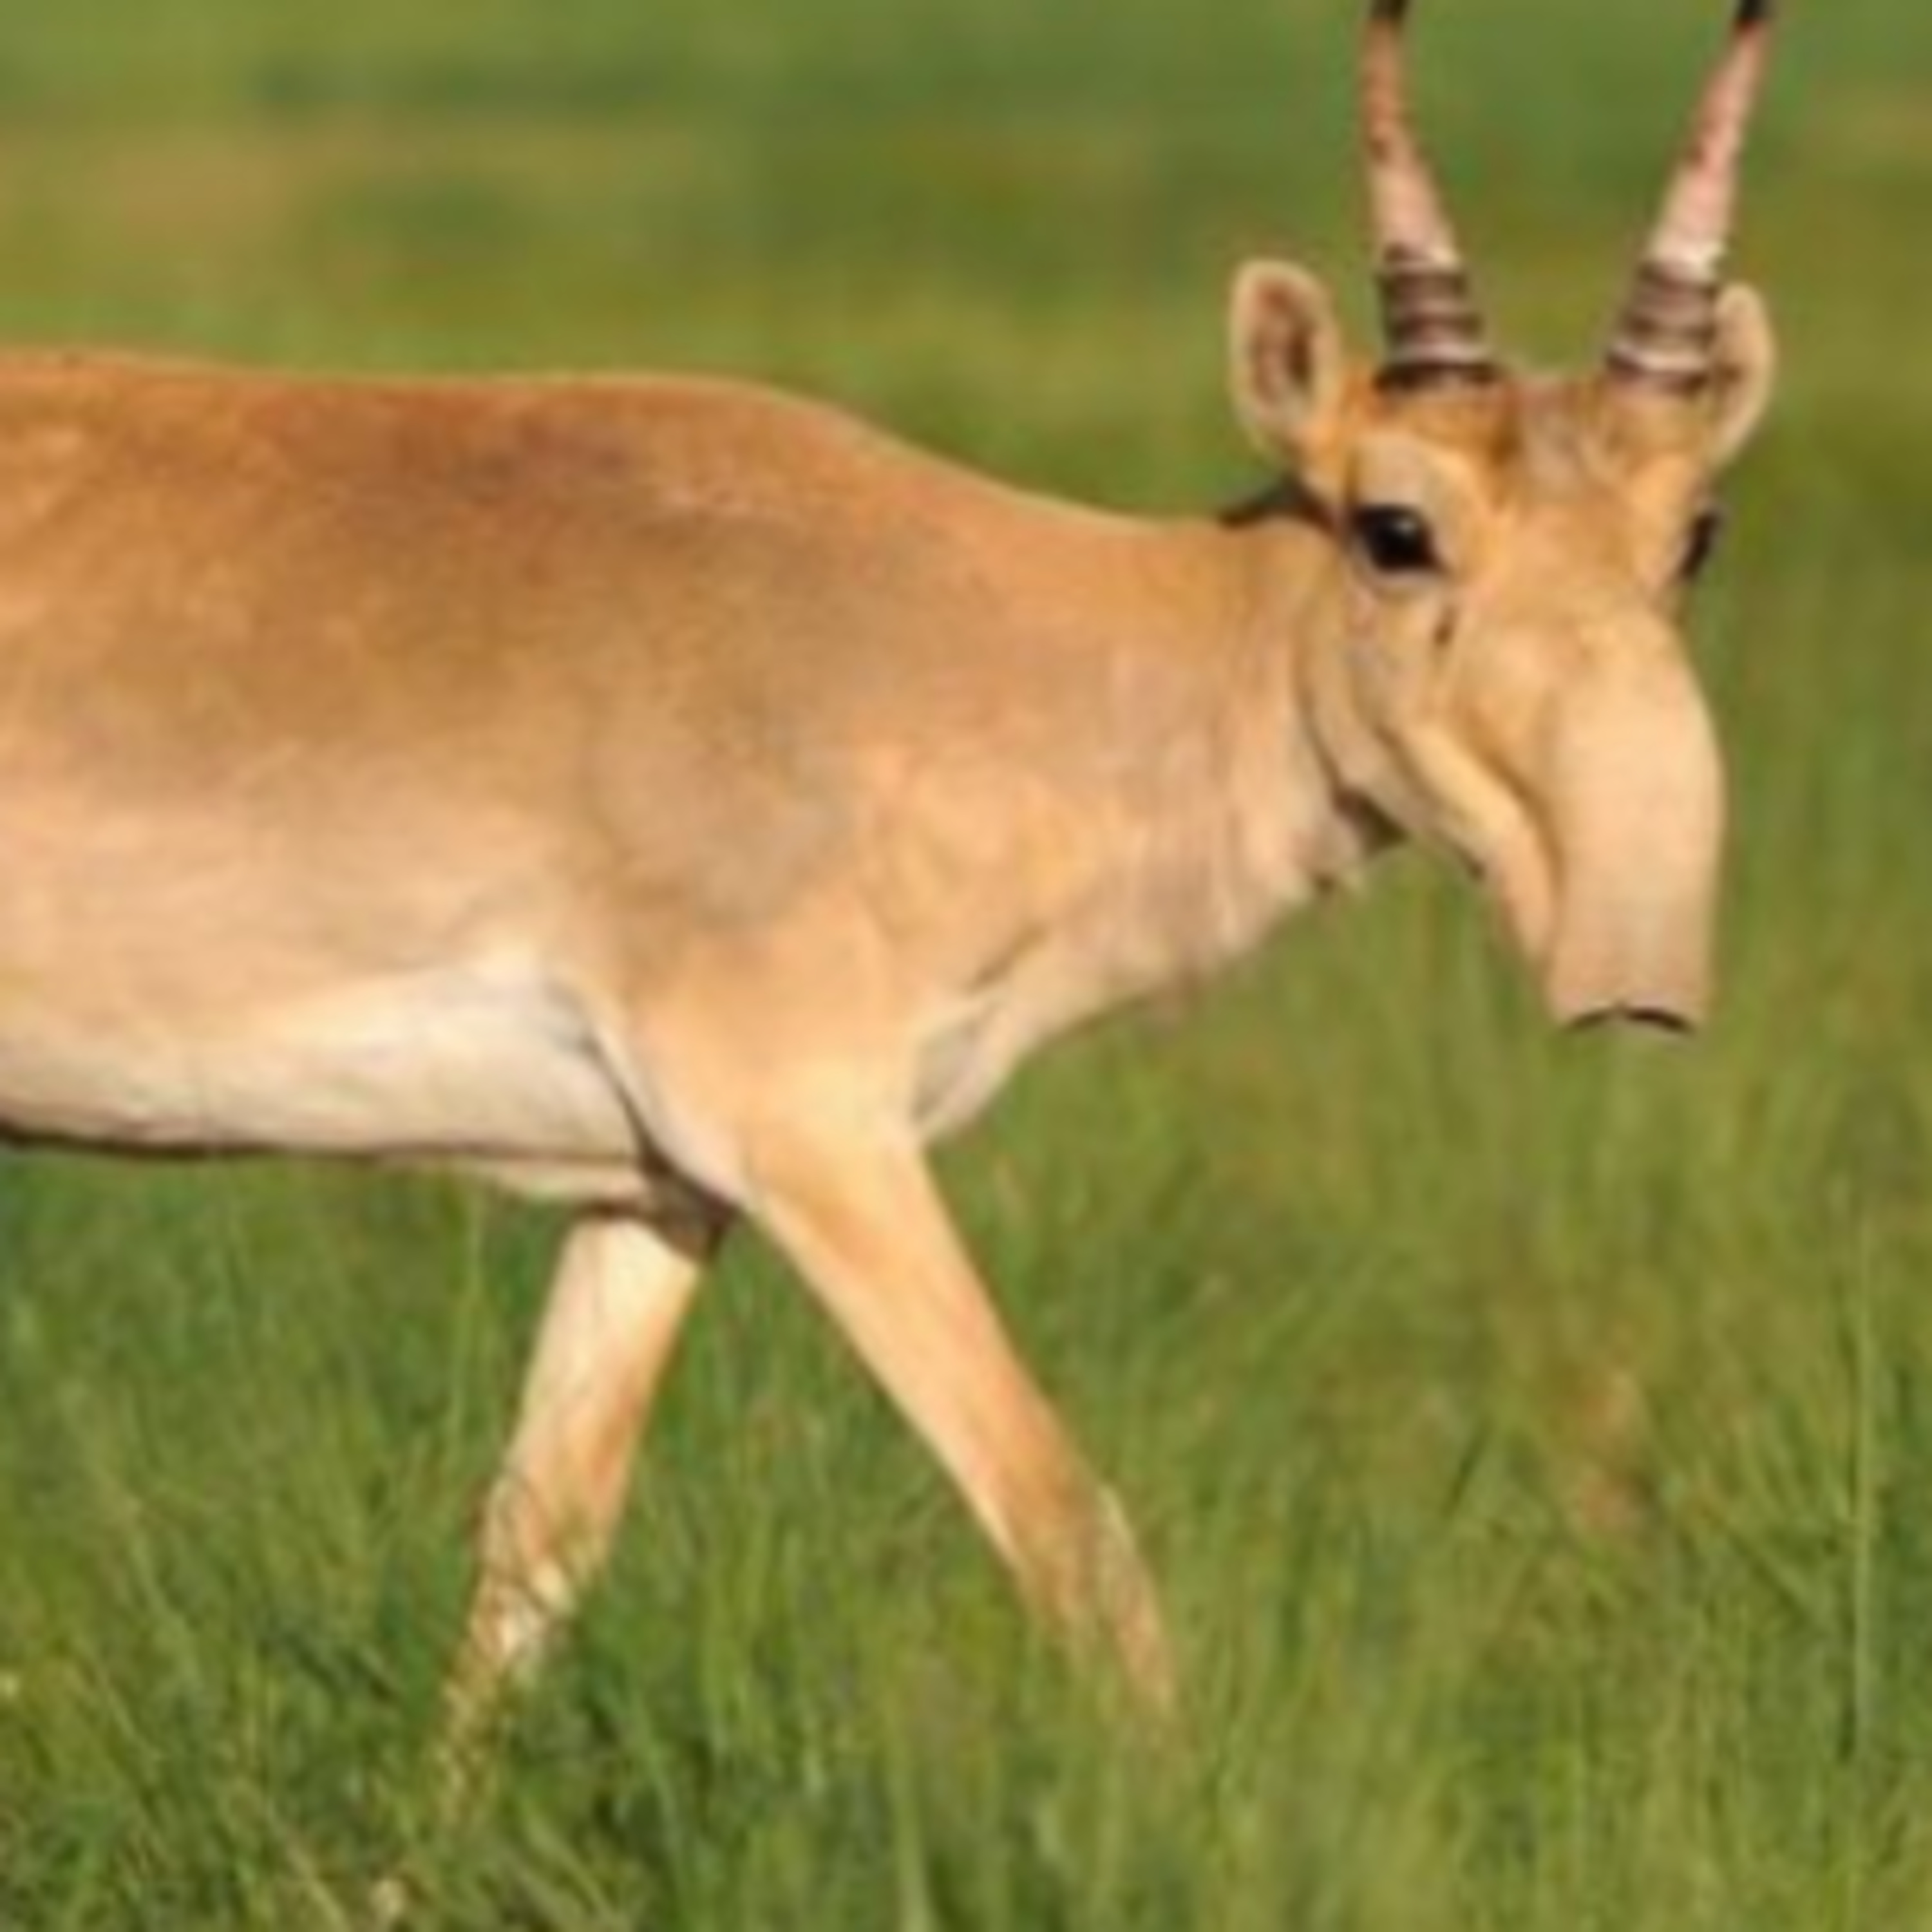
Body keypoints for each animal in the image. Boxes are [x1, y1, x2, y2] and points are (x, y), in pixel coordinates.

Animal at [0, 0, 1775, 1736]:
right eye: (1394, 527)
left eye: (1693, 533)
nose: (1631, 961)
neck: (1015, 644)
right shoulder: (819, 1133)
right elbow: (1067, 1525)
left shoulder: (660, 1190)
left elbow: (535, 1548)